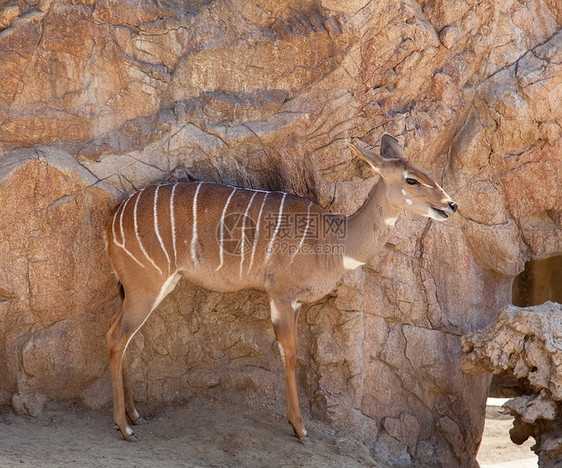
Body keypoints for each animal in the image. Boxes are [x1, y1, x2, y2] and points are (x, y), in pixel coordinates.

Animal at [104, 136, 456, 446]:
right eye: (412, 180)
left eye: (428, 173)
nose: (450, 205)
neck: (333, 242)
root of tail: (113, 220)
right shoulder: (281, 295)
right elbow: (290, 353)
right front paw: (300, 430)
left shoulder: (295, 302)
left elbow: (290, 351)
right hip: (145, 286)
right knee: (116, 338)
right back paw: (124, 428)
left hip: (152, 286)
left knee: (122, 336)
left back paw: (135, 415)